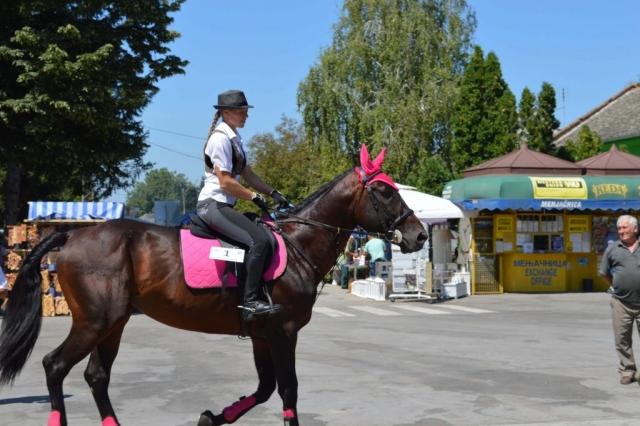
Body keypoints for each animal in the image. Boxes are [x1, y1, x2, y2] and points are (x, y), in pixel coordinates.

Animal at [1, 146, 430, 422]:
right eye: (384, 191)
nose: (420, 235)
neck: (297, 244)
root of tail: (72, 234)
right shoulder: (283, 331)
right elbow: (288, 389)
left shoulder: (261, 335)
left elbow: (265, 388)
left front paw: (212, 416)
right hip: (94, 322)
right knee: (55, 365)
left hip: (113, 324)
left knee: (96, 377)